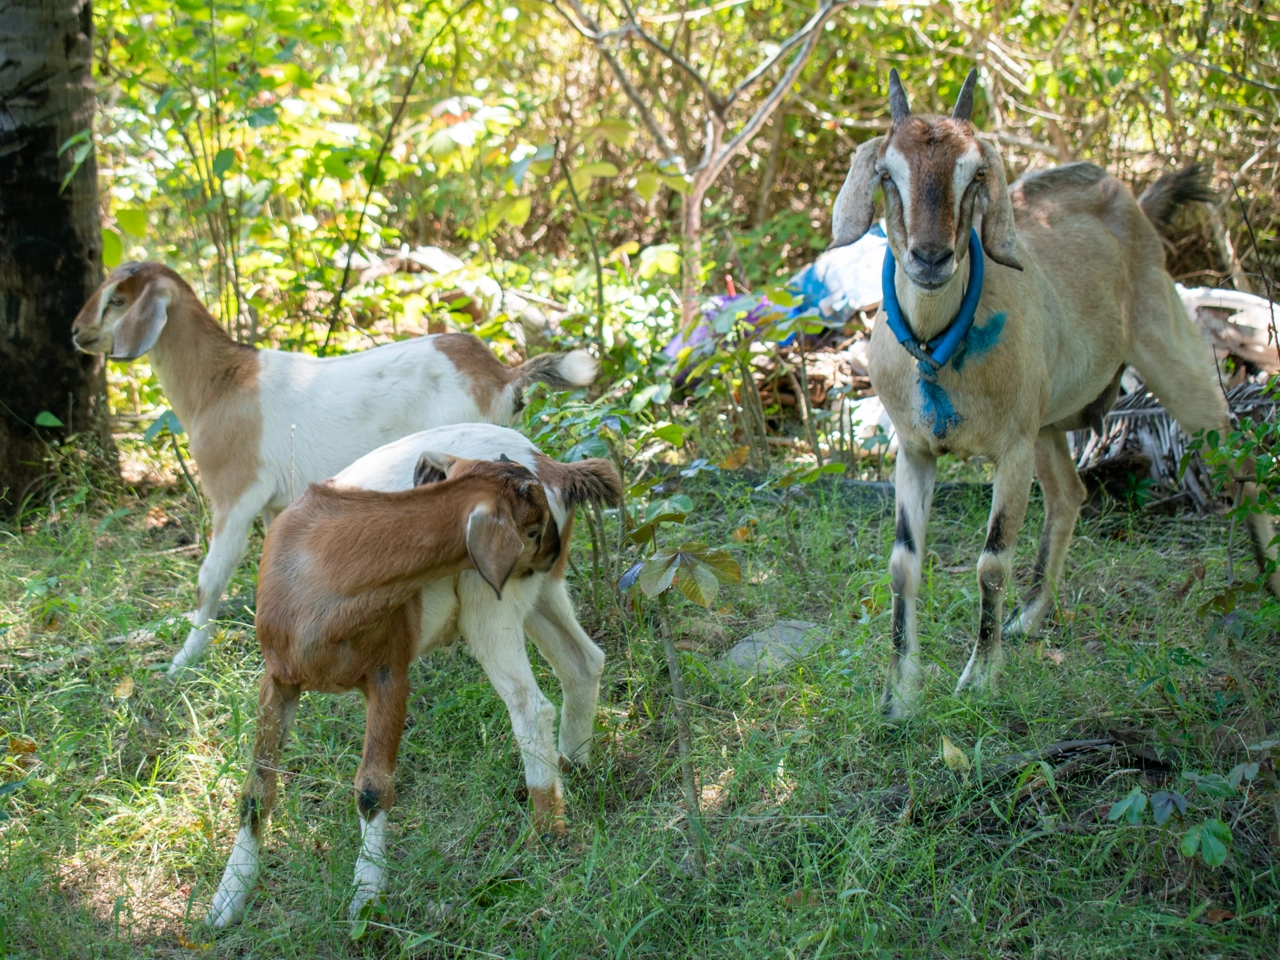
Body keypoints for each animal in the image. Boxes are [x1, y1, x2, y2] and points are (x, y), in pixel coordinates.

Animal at [71, 261, 598, 677]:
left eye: (118, 300)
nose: (77, 333)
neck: (221, 383)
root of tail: (501, 377)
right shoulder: (274, 505)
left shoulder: (234, 495)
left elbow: (210, 578)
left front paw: (182, 664)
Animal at [208, 425, 621, 928]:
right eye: (533, 527)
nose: (554, 548)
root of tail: (554, 467)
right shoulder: (278, 679)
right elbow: (256, 788)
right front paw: (226, 901)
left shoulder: (389, 672)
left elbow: (372, 787)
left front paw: (365, 902)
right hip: (538, 590)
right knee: (583, 661)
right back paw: (575, 766)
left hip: (492, 600)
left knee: (530, 705)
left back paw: (545, 833)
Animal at [830, 69, 1278, 717]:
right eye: (888, 173)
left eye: (977, 174)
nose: (931, 258)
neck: (939, 346)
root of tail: (1131, 201)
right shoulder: (914, 451)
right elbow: (902, 566)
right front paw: (898, 696)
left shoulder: (1012, 449)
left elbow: (992, 562)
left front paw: (978, 679)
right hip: (1045, 420)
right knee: (1071, 494)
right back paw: (1030, 617)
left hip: (1169, 349)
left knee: (1234, 449)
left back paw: (1270, 579)